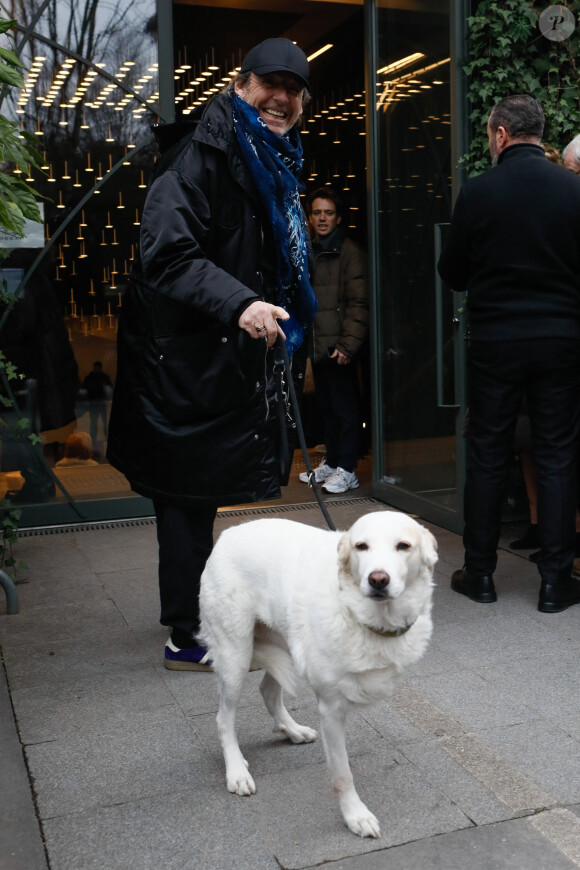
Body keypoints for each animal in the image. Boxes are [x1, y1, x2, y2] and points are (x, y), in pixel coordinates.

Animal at [198, 510, 436, 836]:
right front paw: (355, 816)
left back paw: (293, 730)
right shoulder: (331, 710)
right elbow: (343, 775)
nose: (378, 580)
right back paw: (236, 772)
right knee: (224, 719)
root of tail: (227, 534)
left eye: (403, 546)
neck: (365, 617)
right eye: (362, 546)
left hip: (285, 646)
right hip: (235, 656)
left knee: (268, 691)